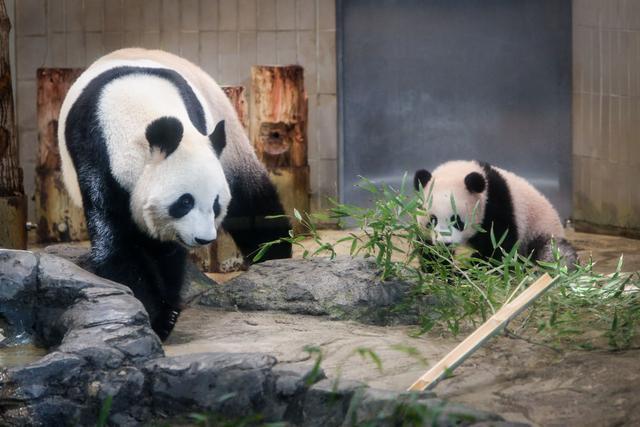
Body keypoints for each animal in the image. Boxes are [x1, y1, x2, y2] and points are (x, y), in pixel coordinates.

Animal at [60, 49, 290, 342]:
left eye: (216, 205)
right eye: (185, 202)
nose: (204, 239)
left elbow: (169, 253)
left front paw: (166, 310)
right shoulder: (95, 155)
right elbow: (116, 242)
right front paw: (155, 314)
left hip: (228, 136)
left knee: (252, 202)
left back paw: (275, 253)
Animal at [412, 160, 576, 268]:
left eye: (457, 221)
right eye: (432, 220)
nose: (445, 243)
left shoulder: (496, 205)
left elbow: (498, 247)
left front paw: (475, 269)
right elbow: (428, 248)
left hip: (539, 229)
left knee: (553, 253)